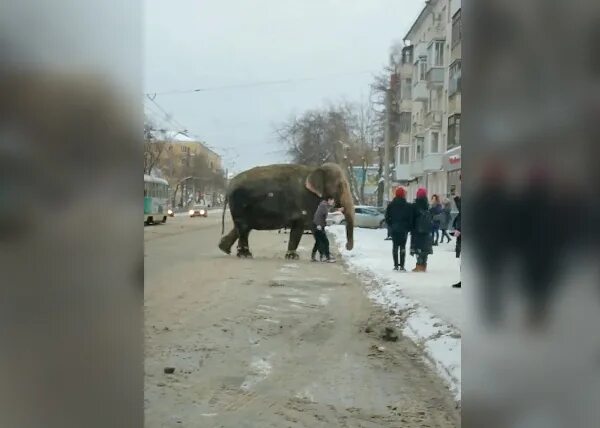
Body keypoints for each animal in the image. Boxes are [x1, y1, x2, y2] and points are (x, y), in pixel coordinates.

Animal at [219, 163, 352, 258]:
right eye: (340, 185)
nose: (347, 246)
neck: (315, 169)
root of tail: (229, 186)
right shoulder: (305, 201)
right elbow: (304, 226)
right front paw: (293, 257)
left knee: (243, 228)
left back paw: (226, 249)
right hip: (239, 205)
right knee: (243, 228)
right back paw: (244, 255)